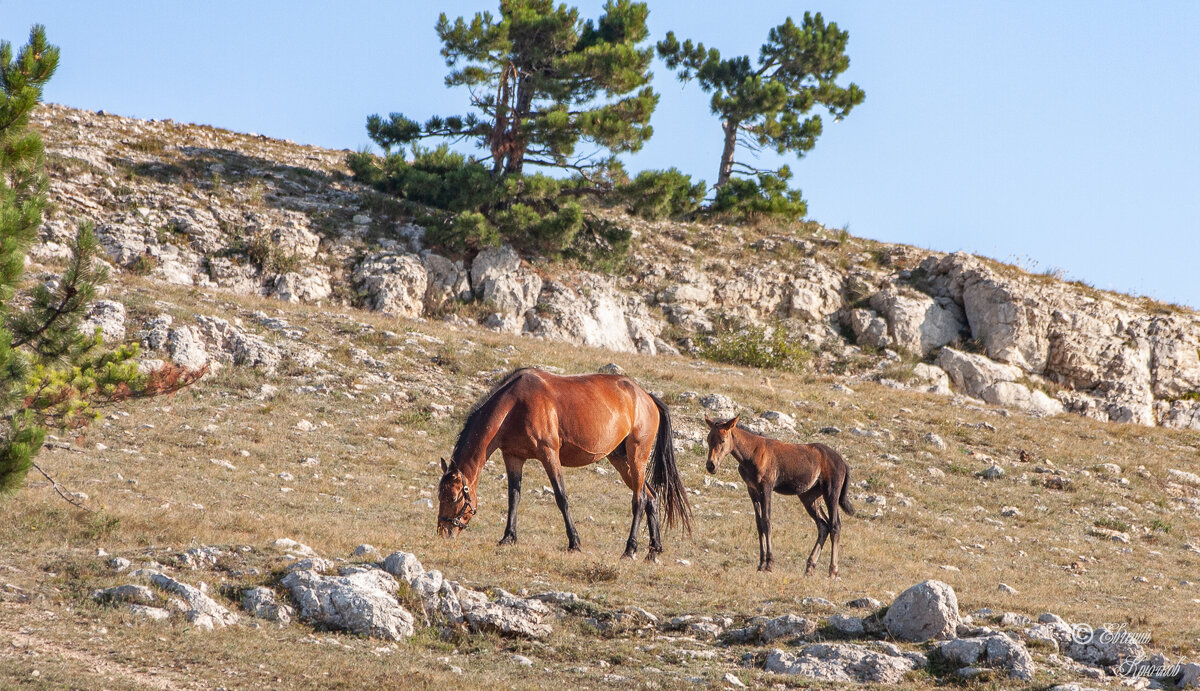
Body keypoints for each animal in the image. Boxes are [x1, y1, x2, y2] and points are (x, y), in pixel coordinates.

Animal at [436, 369, 691, 559]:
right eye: (440, 496)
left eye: (453, 497)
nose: (443, 533)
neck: (514, 405)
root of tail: (646, 396)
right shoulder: (513, 457)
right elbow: (514, 498)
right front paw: (508, 537)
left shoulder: (549, 454)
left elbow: (561, 497)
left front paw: (574, 542)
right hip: (620, 459)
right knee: (650, 496)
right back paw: (654, 549)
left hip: (637, 455)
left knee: (639, 499)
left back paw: (630, 549)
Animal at [700, 417, 854, 575]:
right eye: (708, 439)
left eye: (723, 440)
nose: (711, 465)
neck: (751, 453)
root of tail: (843, 463)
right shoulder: (752, 490)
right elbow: (759, 524)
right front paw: (761, 564)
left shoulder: (766, 488)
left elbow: (767, 522)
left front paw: (769, 564)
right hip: (809, 497)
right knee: (823, 525)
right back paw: (810, 567)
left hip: (831, 493)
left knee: (835, 525)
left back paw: (833, 571)